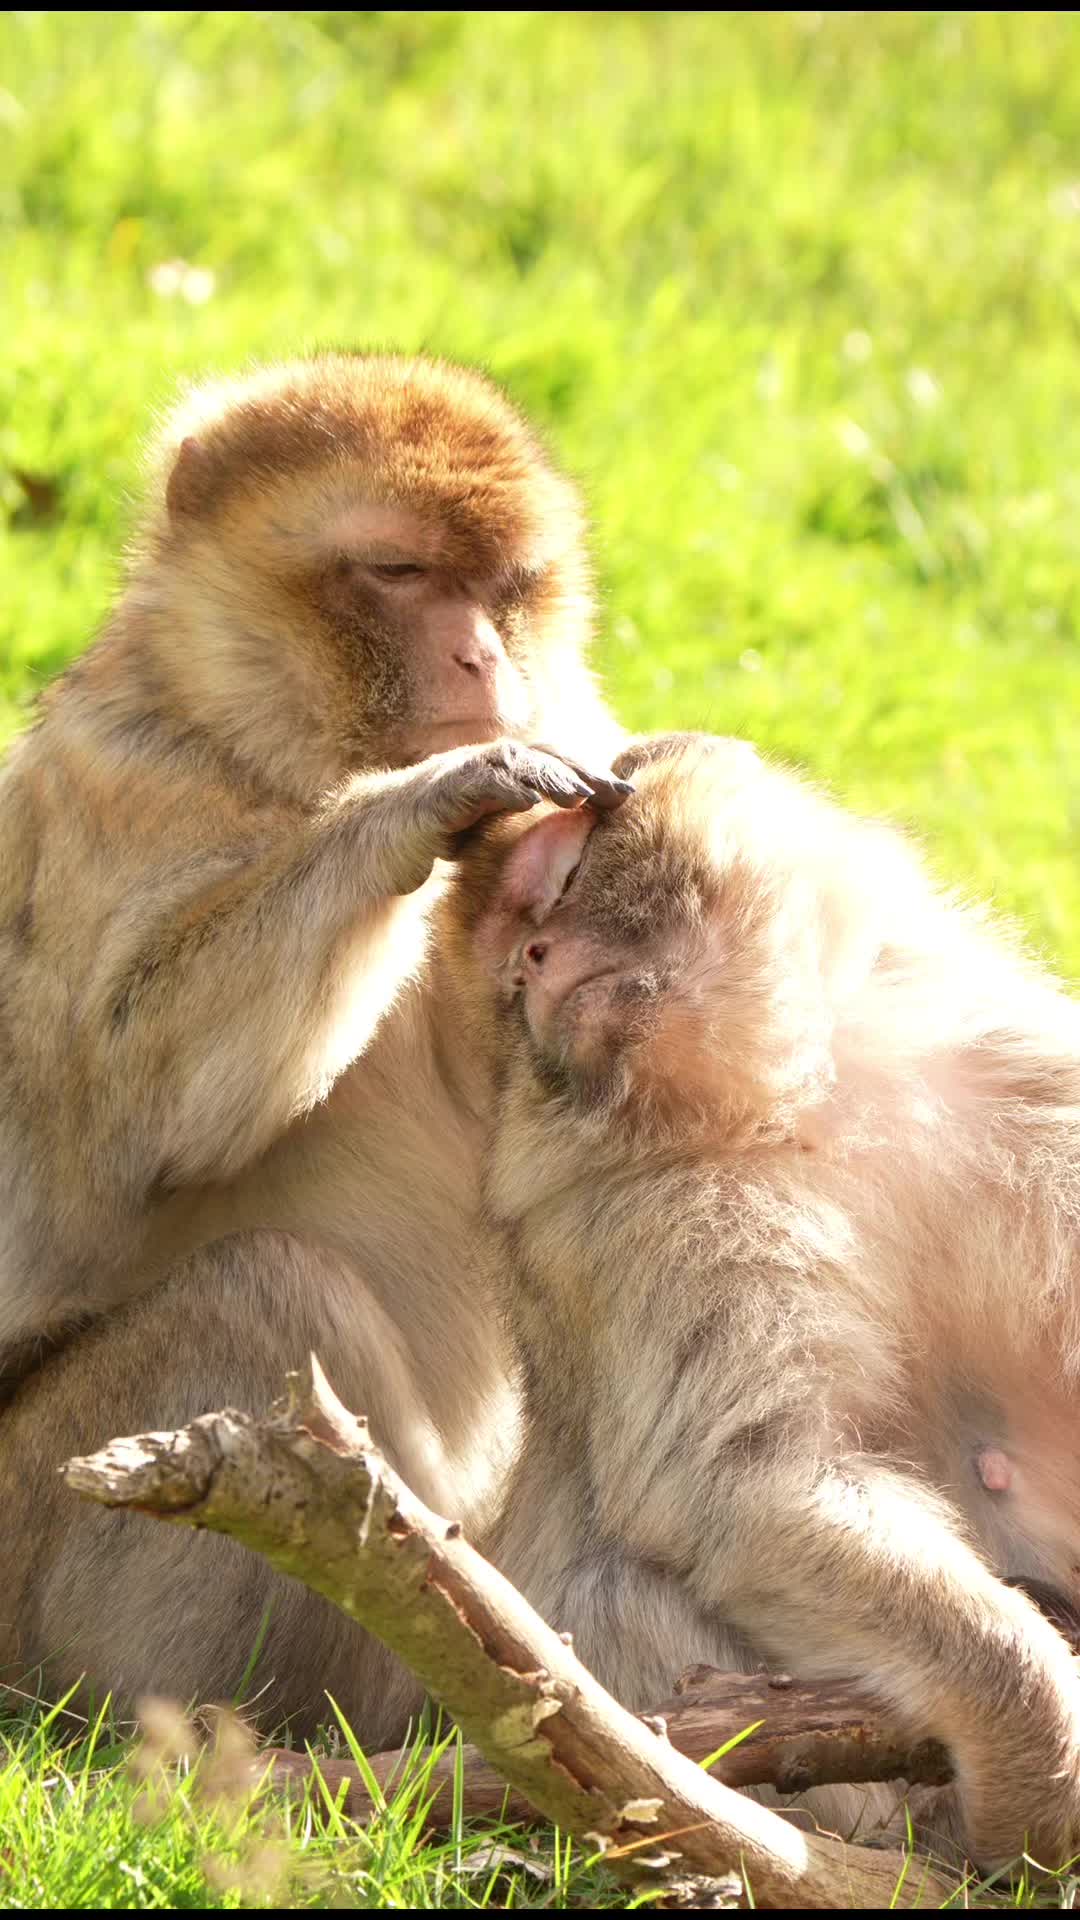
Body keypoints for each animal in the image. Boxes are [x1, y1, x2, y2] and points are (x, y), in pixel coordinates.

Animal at [0, 353, 638, 1744]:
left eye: (505, 587)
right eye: (400, 573)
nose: (480, 657)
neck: (271, 757)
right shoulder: (104, 791)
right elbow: (120, 1128)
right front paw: (429, 800)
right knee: (268, 1296)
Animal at [437, 733, 1080, 1870]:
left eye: (560, 874)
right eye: (510, 954)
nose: (534, 961)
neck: (792, 1100)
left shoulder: (1012, 1060)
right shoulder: (647, 1224)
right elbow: (745, 1482)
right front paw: (1033, 1750)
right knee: (617, 1583)